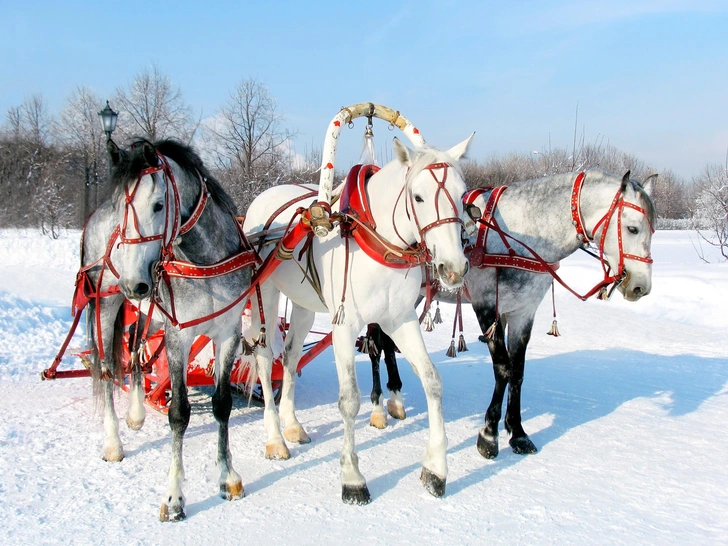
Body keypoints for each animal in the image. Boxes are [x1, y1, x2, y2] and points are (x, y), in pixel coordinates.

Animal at [245, 136, 472, 502]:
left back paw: (291, 424)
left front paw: (436, 468)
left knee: (291, 358)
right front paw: (352, 477)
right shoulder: (344, 326)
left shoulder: (400, 320)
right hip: (263, 294)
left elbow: (432, 380)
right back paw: (275, 438)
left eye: (463, 194)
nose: (454, 268)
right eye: (418, 196)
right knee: (265, 361)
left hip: (304, 304)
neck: (380, 241)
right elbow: (350, 400)